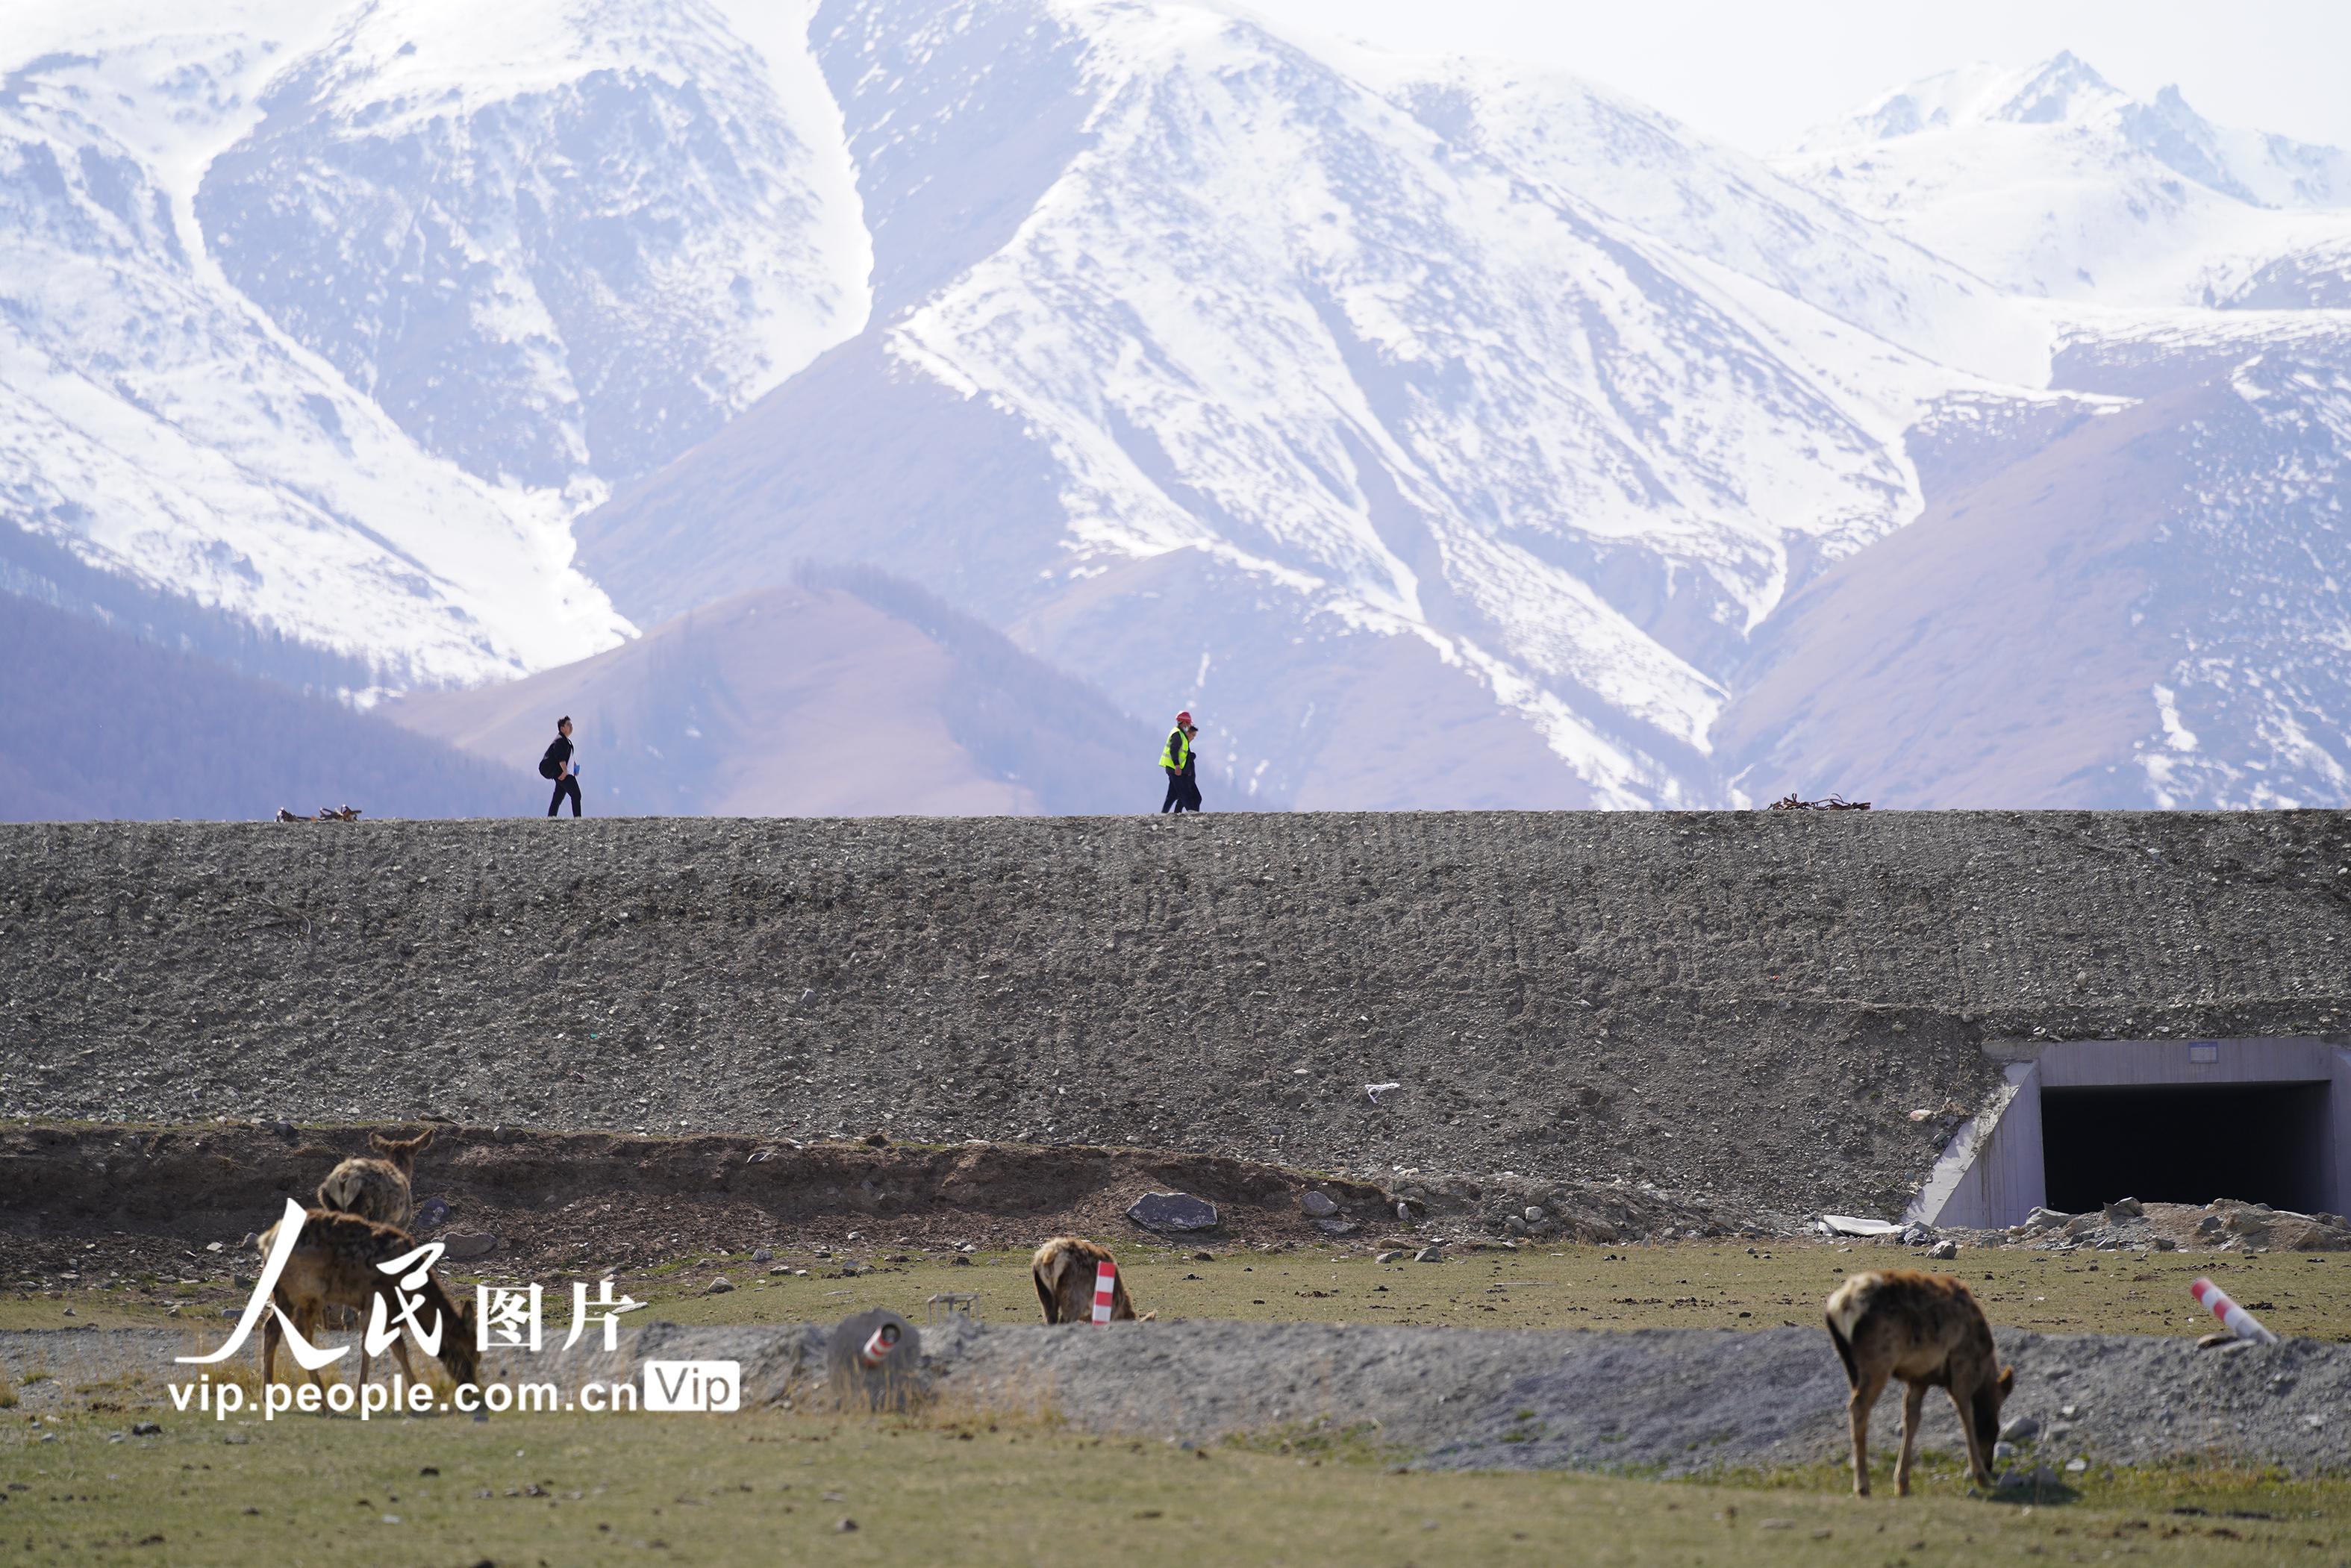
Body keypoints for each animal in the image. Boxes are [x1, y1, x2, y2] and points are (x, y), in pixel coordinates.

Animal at [257, 1213, 477, 1391]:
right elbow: (391, 1348)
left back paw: (268, 1393)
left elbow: (391, 1347)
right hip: (308, 1291)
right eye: (467, 1352)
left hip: (283, 1293)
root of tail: (266, 1240)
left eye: (478, 1356)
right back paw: (324, 1401)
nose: (469, 1389)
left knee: (271, 1327)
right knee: (300, 1332)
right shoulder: (377, 1304)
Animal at [1824, 1260, 2012, 1495]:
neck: (1984, 1368)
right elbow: (1966, 1414)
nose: (1989, 1465)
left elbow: (1911, 1418)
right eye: (1995, 1425)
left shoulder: (1919, 1378)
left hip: (1851, 1365)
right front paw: (1980, 1477)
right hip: (1878, 1360)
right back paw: (1862, 1485)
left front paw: (1902, 1482)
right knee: (1858, 1406)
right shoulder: (1962, 1366)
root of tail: (1842, 1304)